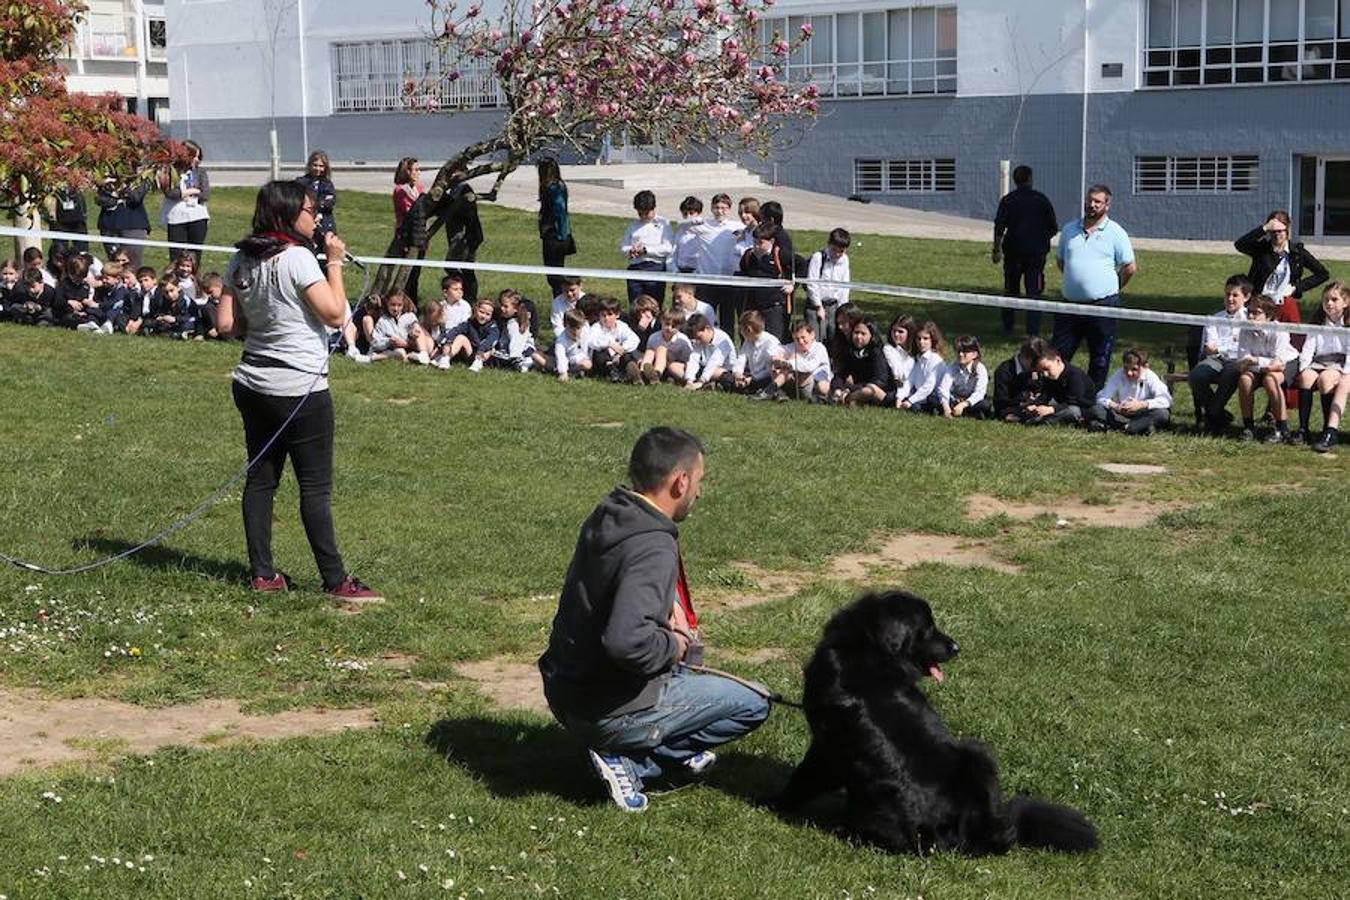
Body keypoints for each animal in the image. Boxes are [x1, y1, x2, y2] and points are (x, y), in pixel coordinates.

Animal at [777, 591, 1101, 858]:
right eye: (928, 629)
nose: (956, 647)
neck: (868, 647)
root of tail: (977, 829)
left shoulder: (826, 747)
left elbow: (802, 779)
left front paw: (774, 804)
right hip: (977, 753)